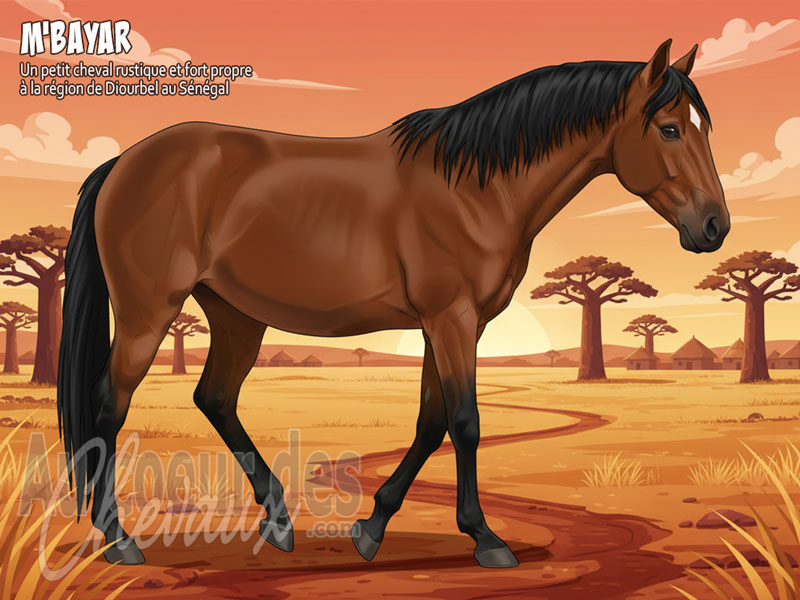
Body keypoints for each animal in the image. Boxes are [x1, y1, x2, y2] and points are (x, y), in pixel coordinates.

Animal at [58, 39, 729, 569]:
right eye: (670, 128)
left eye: (703, 126)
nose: (715, 226)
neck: (476, 186)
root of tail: (124, 162)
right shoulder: (452, 317)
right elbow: (465, 422)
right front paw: (486, 540)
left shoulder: (450, 325)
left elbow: (432, 421)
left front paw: (371, 527)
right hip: (149, 311)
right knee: (110, 405)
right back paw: (119, 540)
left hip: (234, 313)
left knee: (215, 397)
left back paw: (277, 520)